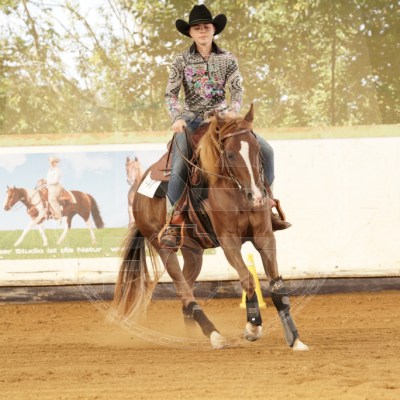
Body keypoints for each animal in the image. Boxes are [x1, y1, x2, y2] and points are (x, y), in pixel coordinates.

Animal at [112, 104, 308, 351]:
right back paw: (214, 335)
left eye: (257, 151)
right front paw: (253, 327)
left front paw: (295, 338)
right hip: (163, 248)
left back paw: (192, 336)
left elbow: (277, 285)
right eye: (231, 154)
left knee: (186, 288)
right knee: (183, 290)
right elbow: (247, 278)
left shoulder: (265, 236)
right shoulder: (228, 240)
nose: (256, 197)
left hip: (193, 252)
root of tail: (139, 191)